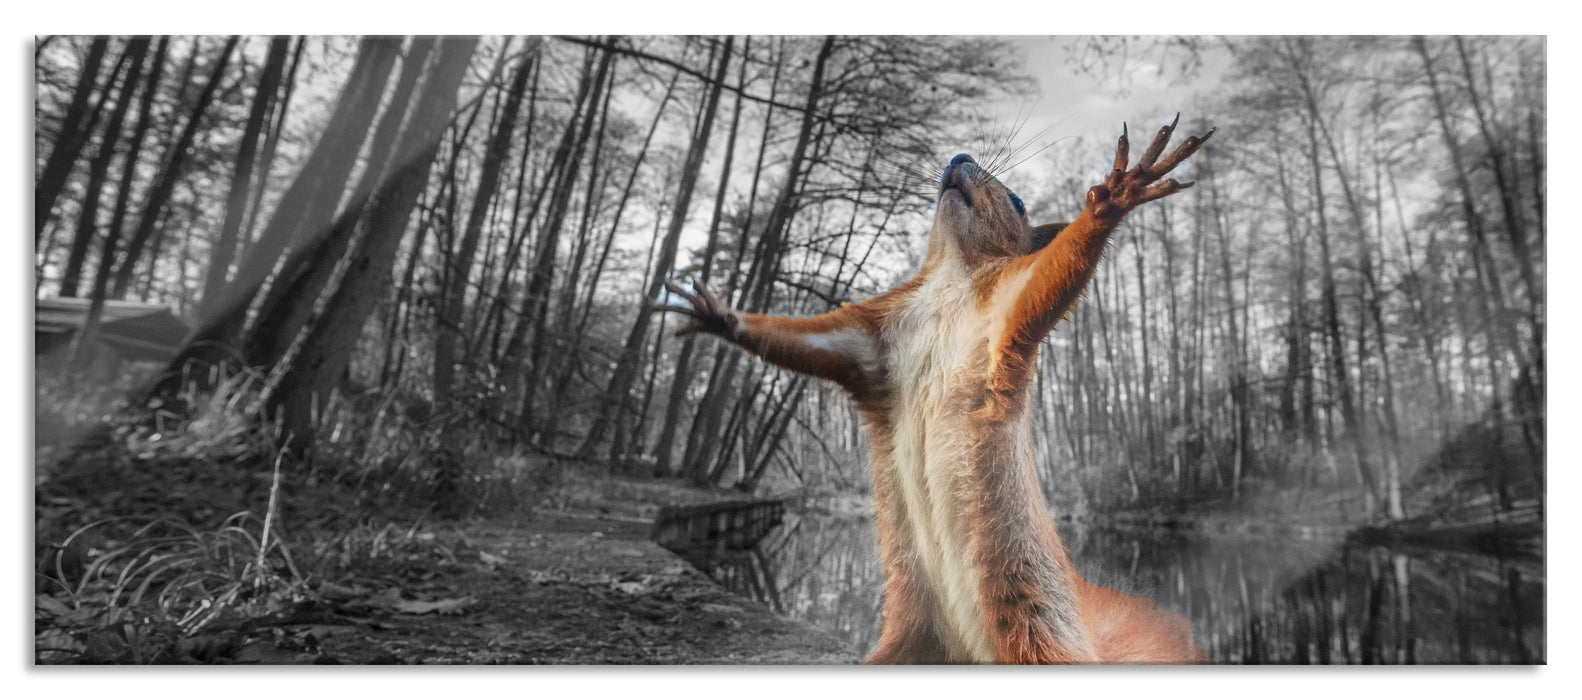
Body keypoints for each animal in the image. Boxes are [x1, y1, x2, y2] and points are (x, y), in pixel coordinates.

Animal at [657, 116, 1213, 664]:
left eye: (1017, 201)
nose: (960, 158)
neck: (950, 274)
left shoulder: (1007, 307)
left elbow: (1052, 278)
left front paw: (1116, 195)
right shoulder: (873, 341)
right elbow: (803, 340)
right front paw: (717, 315)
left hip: (1033, 628)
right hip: (908, 637)